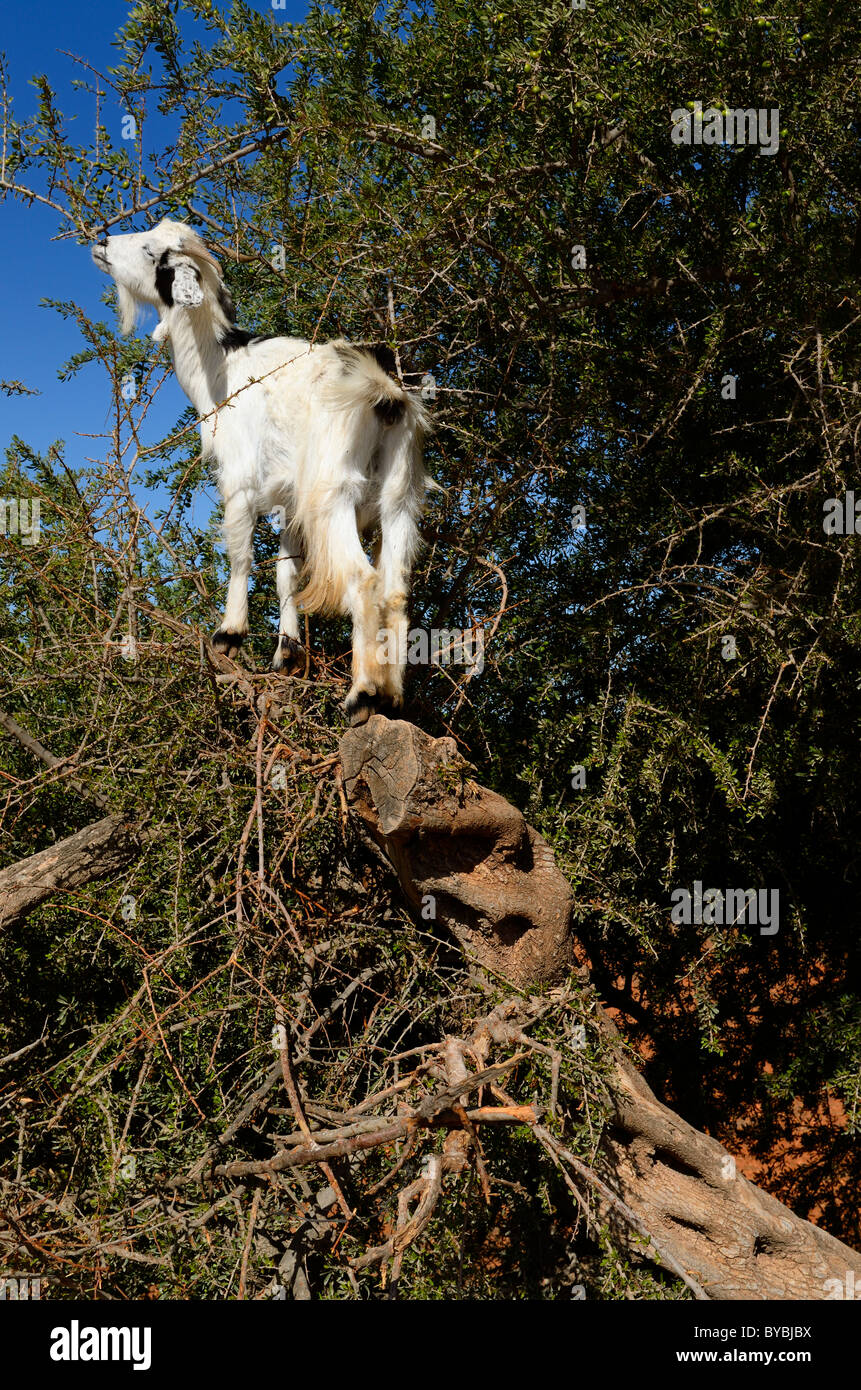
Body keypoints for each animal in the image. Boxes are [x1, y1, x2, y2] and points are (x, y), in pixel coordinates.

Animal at [89, 219, 431, 717]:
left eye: (152, 251)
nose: (102, 241)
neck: (222, 366)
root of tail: (384, 393)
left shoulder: (239, 479)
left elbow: (240, 553)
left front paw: (229, 633)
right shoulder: (289, 501)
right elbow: (286, 572)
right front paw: (287, 654)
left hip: (333, 489)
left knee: (363, 579)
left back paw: (362, 694)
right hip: (398, 493)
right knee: (395, 589)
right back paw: (393, 696)